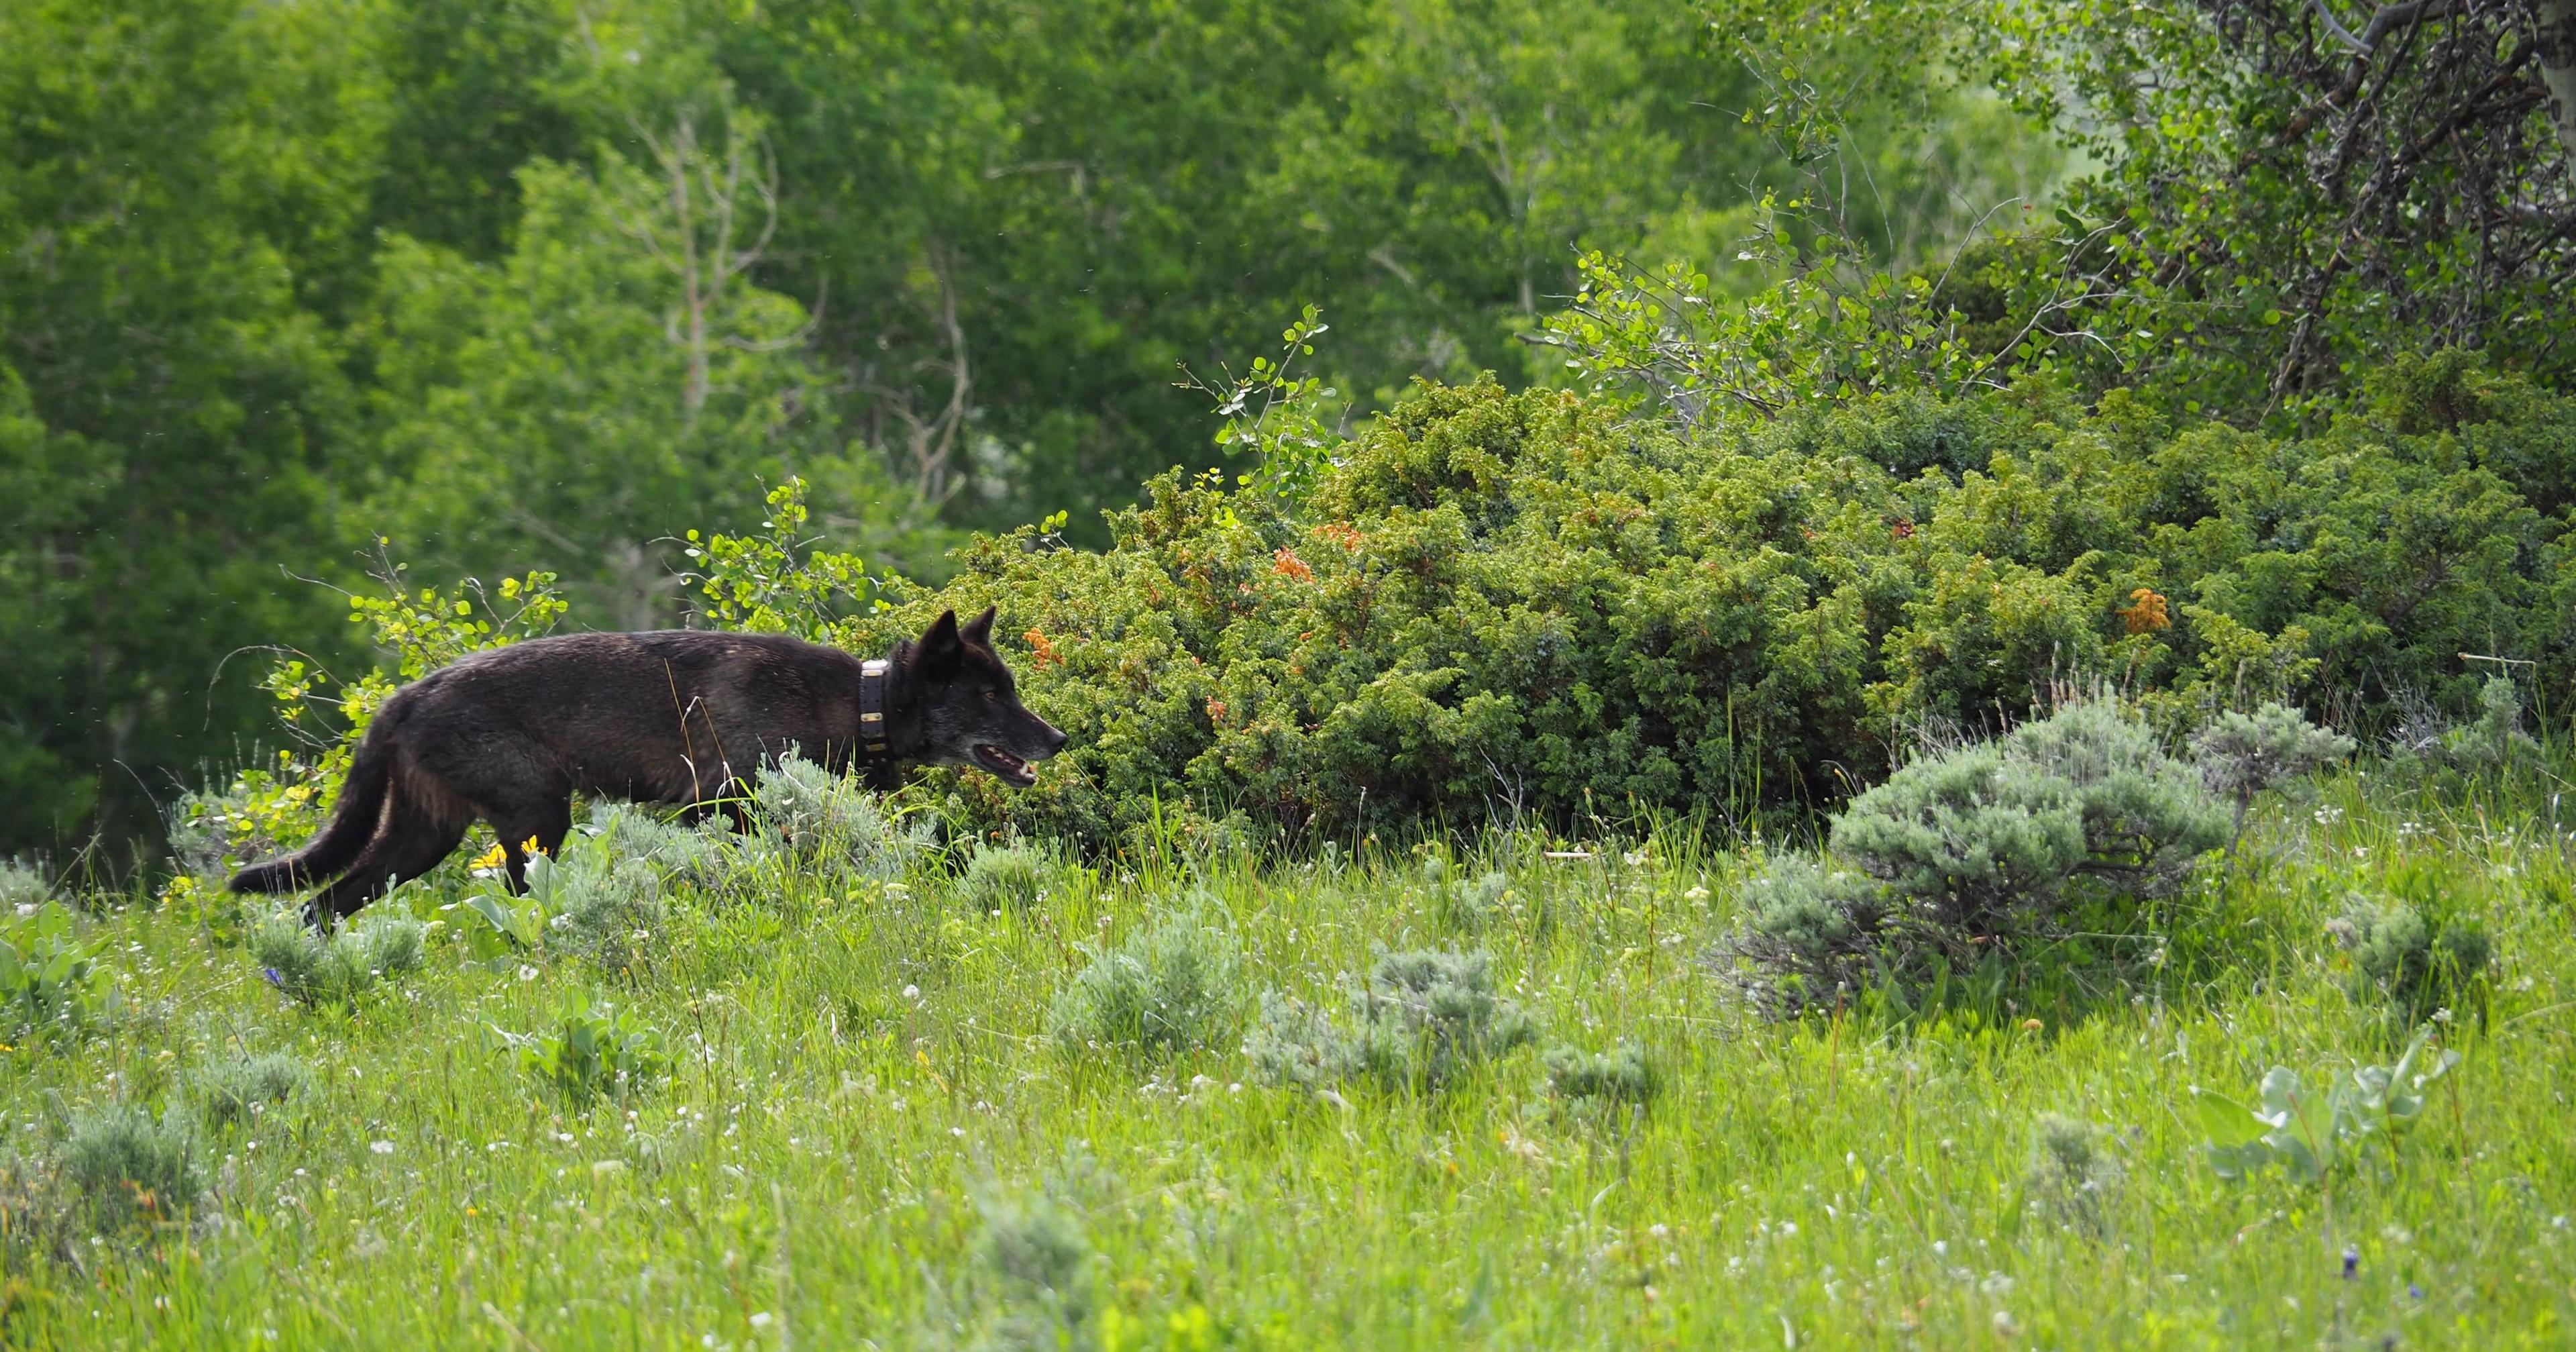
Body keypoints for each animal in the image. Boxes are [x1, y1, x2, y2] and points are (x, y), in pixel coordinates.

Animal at [229, 607, 1056, 917]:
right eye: (992, 695)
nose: (1058, 740)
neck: (859, 700)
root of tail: (404, 695)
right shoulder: (708, 805)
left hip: (418, 842)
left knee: (317, 906)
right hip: (537, 817)